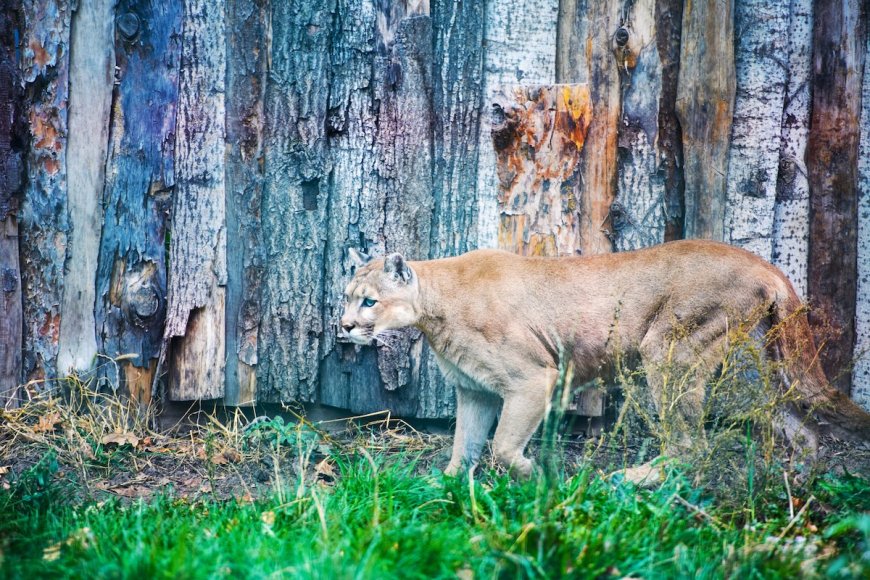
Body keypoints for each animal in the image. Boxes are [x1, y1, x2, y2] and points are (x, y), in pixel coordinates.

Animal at [339, 240, 870, 482]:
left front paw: (538, 478)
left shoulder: (532, 378)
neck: (435, 305)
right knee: (804, 430)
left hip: (669, 349)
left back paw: (631, 479)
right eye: (346, 297)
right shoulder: (475, 390)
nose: (342, 326)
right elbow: (464, 447)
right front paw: (442, 489)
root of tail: (764, 263)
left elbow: (503, 447)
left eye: (369, 301)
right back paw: (795, 483)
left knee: (691, 445)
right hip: (761, 368)